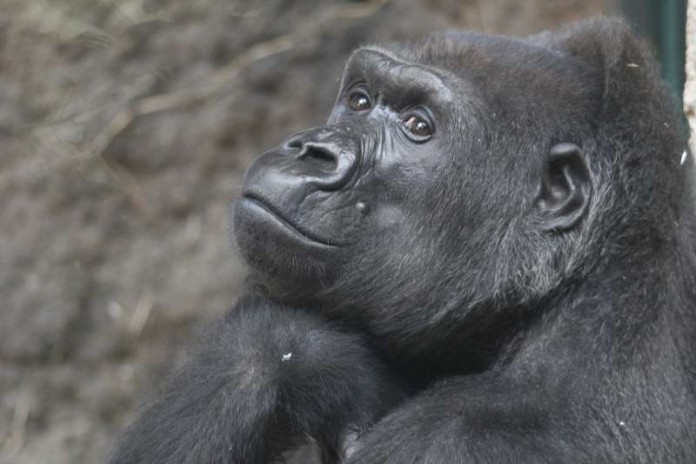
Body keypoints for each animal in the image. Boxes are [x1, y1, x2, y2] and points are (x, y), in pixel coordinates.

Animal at [109, 16, 696, 462]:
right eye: (359, 101)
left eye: (417, 126)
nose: (312, 150)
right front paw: (316, 358)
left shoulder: (461, 441)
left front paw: (289, 347)